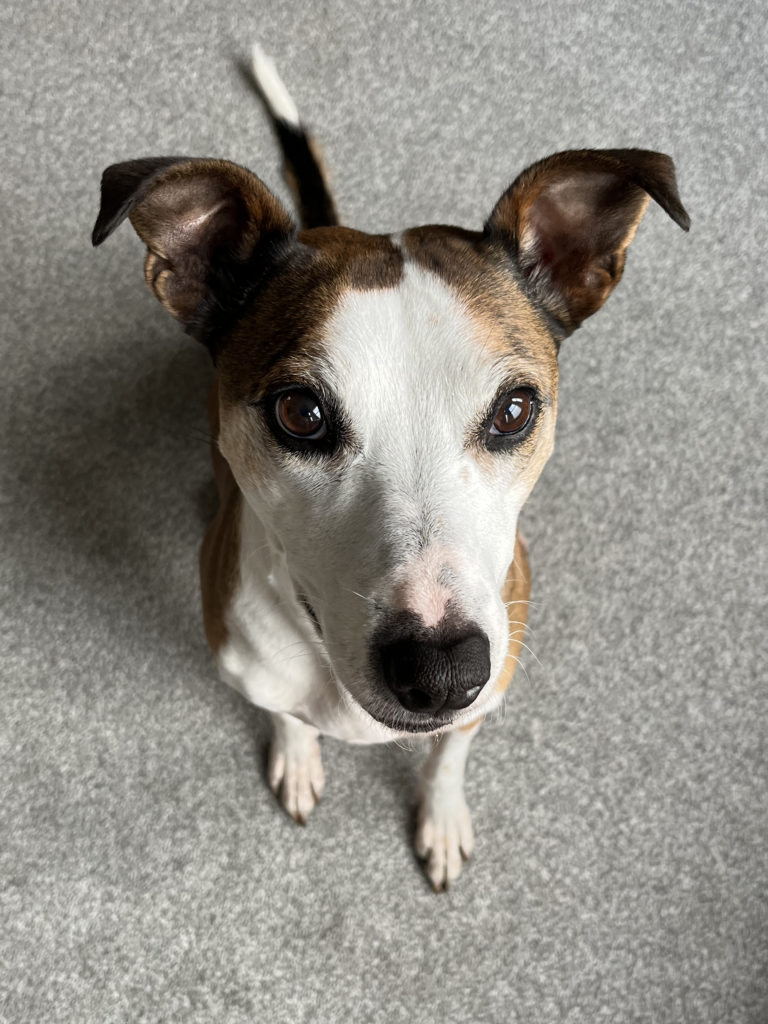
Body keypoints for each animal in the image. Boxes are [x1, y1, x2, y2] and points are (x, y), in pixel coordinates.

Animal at [91, 46, 692, 888]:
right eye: (300, 413)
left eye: (514, 411)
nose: (439, 671)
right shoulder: (252, 668)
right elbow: (287, 717)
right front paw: (299, 757)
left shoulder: (484, 694)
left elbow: (447, 758)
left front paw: (441, 818)